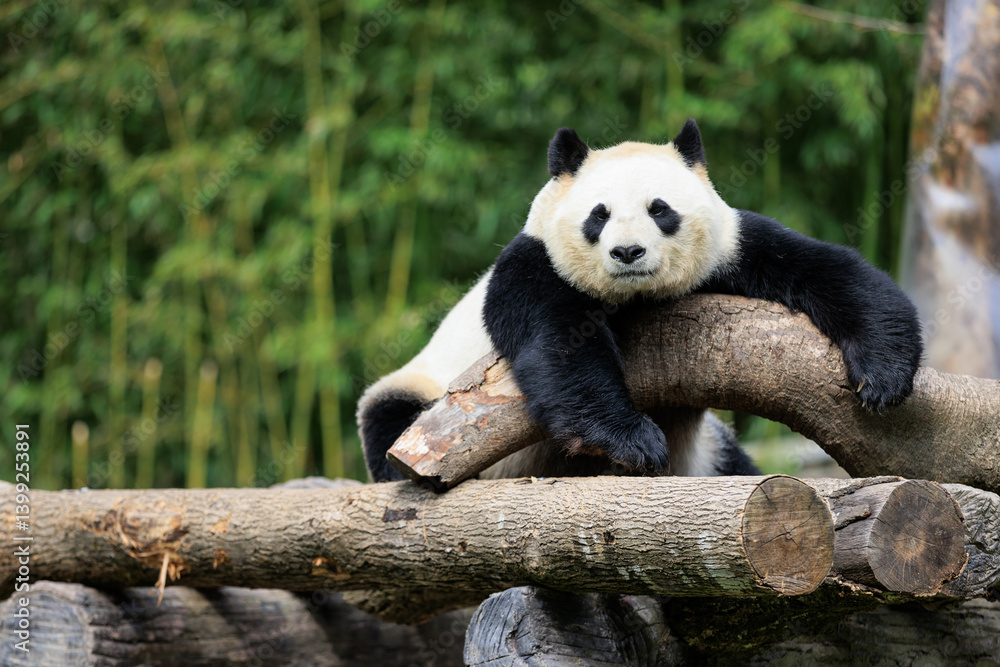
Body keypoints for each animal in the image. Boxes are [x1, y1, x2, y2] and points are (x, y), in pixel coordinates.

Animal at [357, 120, 923, 483]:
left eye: (660, 209)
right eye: (599, 214)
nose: (627, 252)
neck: (634, 296)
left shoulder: (730, 249)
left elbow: (824, 269)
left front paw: (883, 376)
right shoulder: (537, 263)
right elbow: (560, 347)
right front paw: (633, 439)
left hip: (708, 450)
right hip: (422, 387)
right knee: (390, 418)